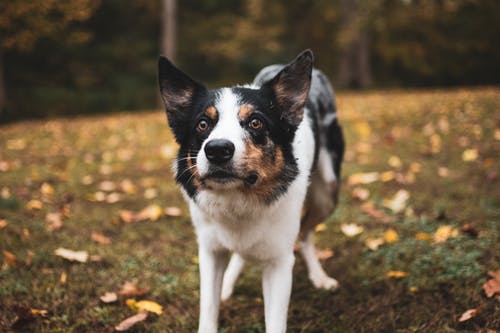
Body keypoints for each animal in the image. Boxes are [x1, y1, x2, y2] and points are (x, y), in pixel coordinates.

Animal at [158, 50, 346, 332]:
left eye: (255, 122)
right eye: (202, 124)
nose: (217, 150)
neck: (238, 200)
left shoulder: (279, 263)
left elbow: (276, 322)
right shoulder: (209, 251)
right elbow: (208, 309)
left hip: (327, 191)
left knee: (305, 235)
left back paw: (319, 276)